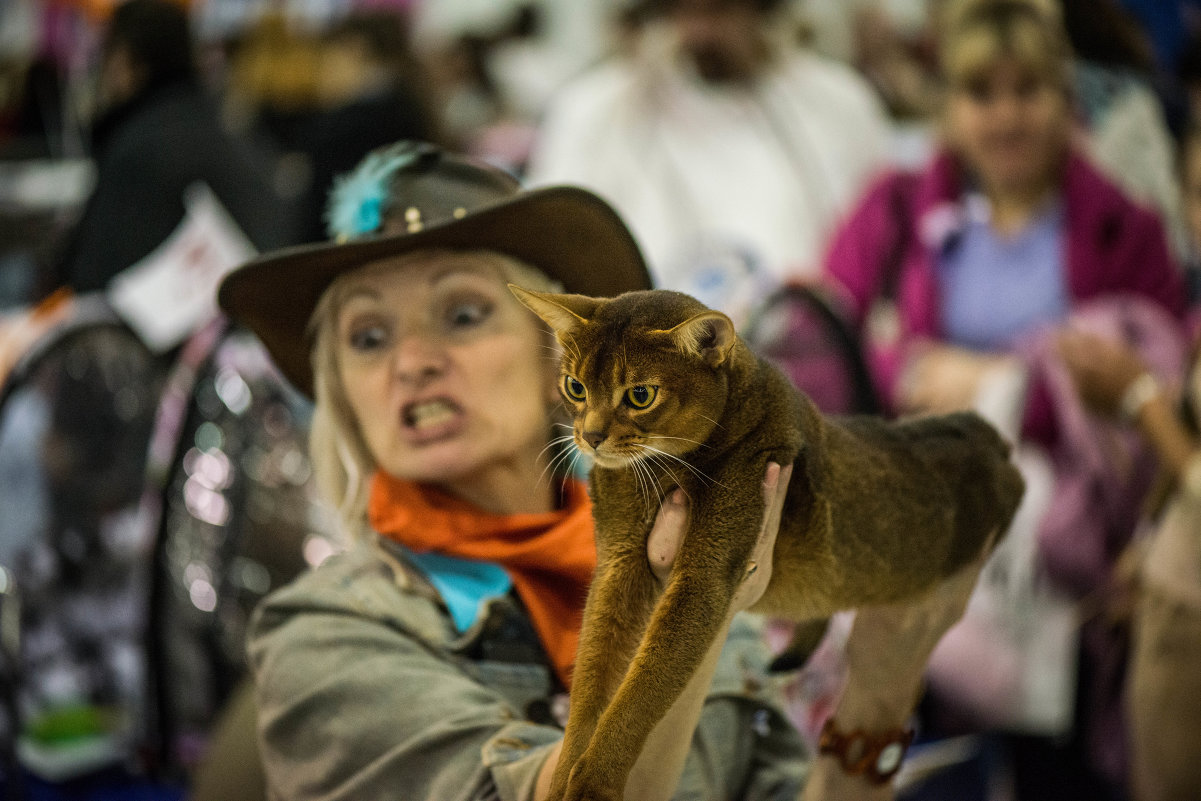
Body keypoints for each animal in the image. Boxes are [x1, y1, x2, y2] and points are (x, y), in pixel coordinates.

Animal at [511, 287, 1028, 801]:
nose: (590, 437)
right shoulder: (616, 564)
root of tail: (992, 439)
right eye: (575, 387)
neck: (662, 468)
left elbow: (639, 693)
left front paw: (592, 784)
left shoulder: (705, 575)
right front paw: (562, 778)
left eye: (640, 395)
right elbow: (591, 682)